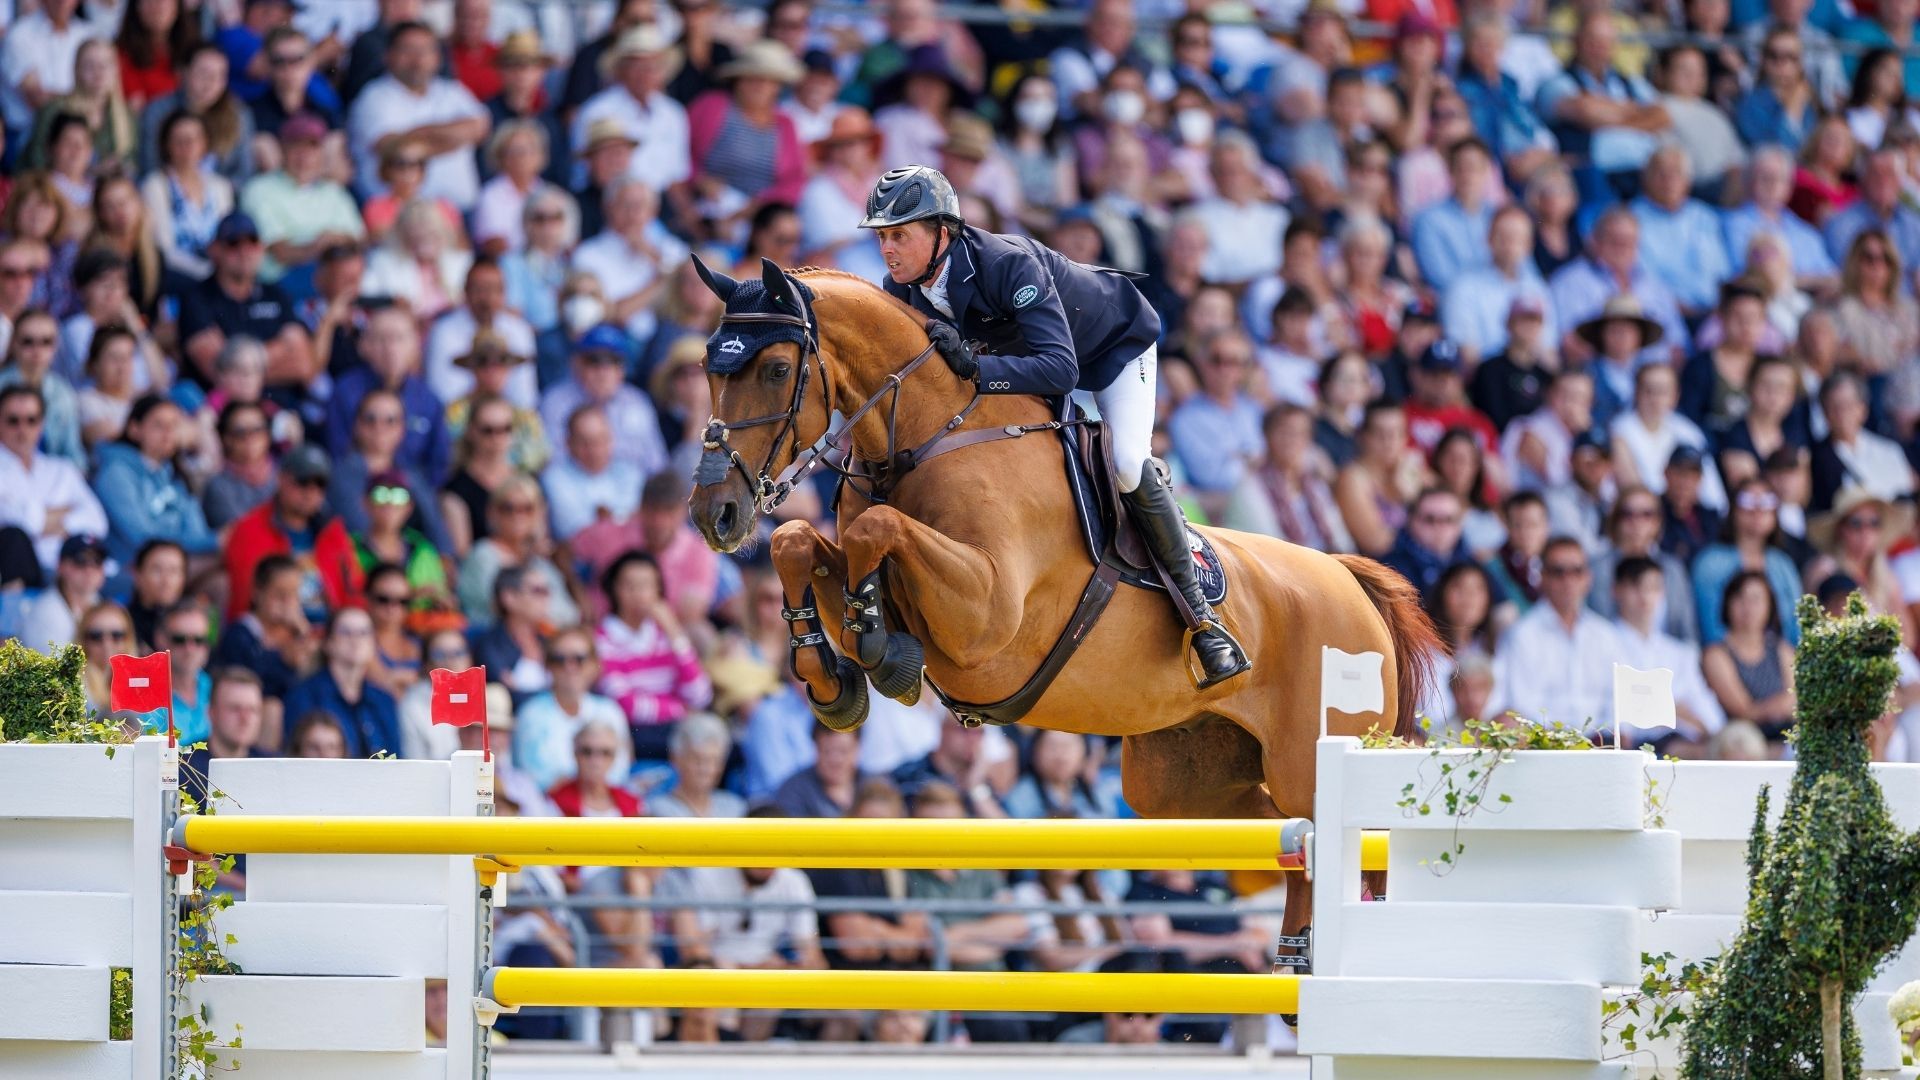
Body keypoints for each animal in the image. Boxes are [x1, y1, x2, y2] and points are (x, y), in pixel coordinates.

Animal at [687, 258, 1439, 958]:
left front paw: (880, 651)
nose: (713, 515)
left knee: (1333, 839)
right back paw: (1293, 953)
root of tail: (1347, 579)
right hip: (1183, 785)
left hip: (1306, 758)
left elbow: (878, 531)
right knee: (1288, 840)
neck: (929, 436)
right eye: (706, 368)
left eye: (776, 368)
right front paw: (833, 679)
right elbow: (796, 541)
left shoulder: (987, 617)